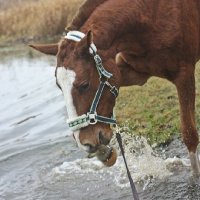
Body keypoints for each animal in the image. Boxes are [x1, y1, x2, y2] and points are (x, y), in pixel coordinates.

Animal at [29, 0, 200, 175]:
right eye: (59, 86)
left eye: (84, 85)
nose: (85, 143)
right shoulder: (133, 73)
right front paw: (103, 153)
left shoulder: (184, 75)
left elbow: (189, 135)